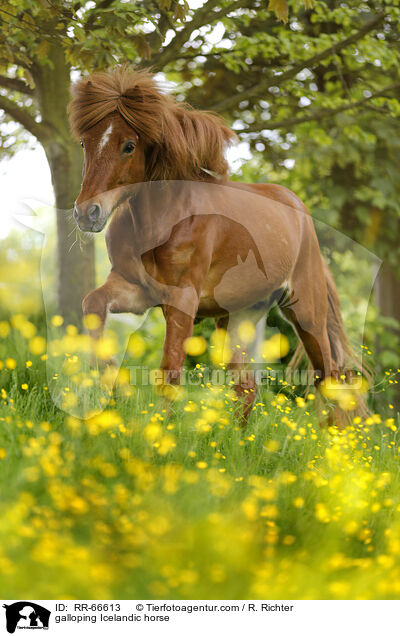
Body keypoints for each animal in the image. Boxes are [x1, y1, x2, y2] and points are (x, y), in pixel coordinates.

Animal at [68, 66, 356, 422]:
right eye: (85, 142)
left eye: (129, 145)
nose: (86, 213)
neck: (161, 221)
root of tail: (299, 210)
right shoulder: (136, 290)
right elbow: (92, 303)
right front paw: (111, 378)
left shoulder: (181, 301)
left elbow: (170, 372)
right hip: (239, 318)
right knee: (246, 388)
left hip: (306, 312)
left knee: (328, 380)